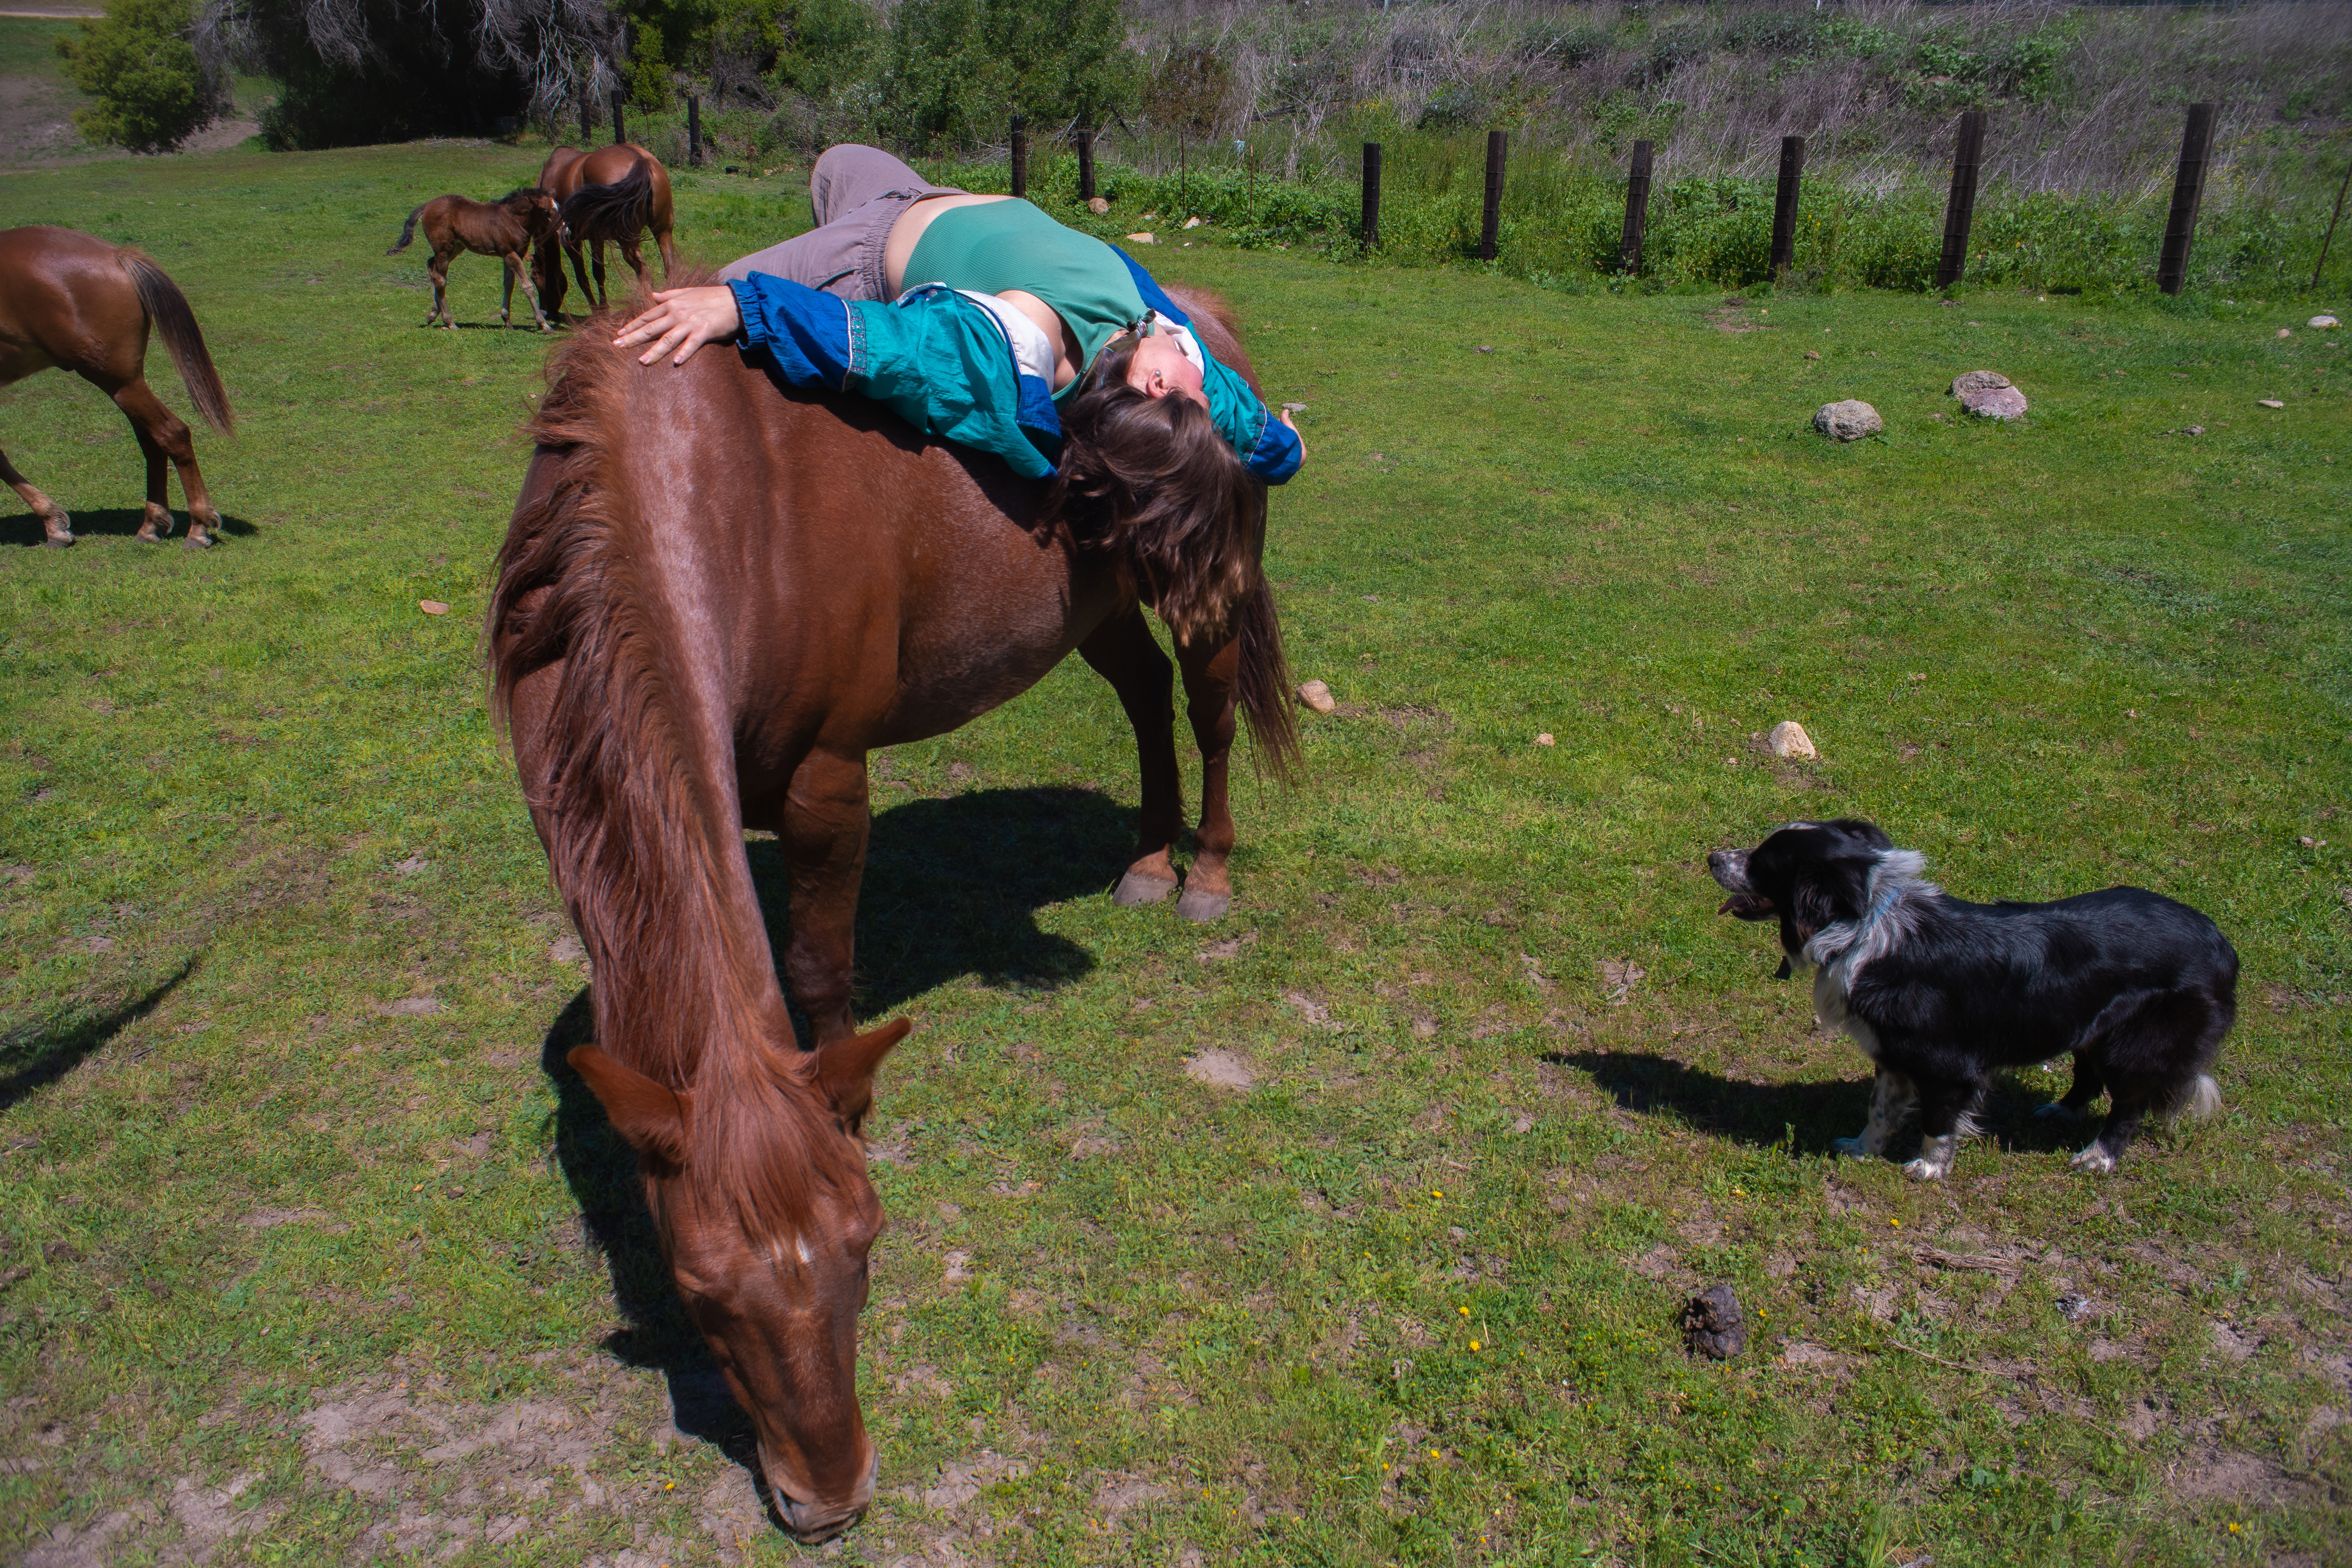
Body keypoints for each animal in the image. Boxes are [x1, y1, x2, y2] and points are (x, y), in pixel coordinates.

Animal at [0, 225, 235, 548]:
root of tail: (116, 255)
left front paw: (54, 525)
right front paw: (54, 523)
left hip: (116, 381)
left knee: (172, 433)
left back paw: (199, 527)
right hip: (125, 385)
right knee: (152, 441)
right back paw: (151, 525)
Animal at [387, 187, 562, 331]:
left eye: (557, 207)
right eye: (546, 211)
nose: (561, 228)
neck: (512, 219)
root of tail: (428, 205)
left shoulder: (510, 255)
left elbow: (508, 285)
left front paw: (507, 321)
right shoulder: (511, 254)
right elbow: (527, 287)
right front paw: (544, 325)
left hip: (456, 247)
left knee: (431, 265)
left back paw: (433, 314)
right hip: (443, 249)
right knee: (440, 280)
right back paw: (450, 323)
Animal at [488, 277, 1294, 1540]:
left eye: (868, 1244)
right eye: (698, 1292)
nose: (830, 1496)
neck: (702, 485)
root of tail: (1201, 318)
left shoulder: (826, 782)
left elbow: (820, 972)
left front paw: (854, 1103)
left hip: (1202, 582)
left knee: (1206, 709)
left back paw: (1203, 871)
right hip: (1095, 597)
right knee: (1144, 691)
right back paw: (1147, 857)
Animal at [537, 143, 677, 318]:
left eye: (535, 278)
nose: (545, 313)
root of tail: (640, 159)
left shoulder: (572, 241)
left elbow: (583, 276)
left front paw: (598, 314)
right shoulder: (596, 238)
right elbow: (598, 273)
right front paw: (603, 310)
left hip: (628, 242)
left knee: (644, 273)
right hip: (663, 232)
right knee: (670, 269)